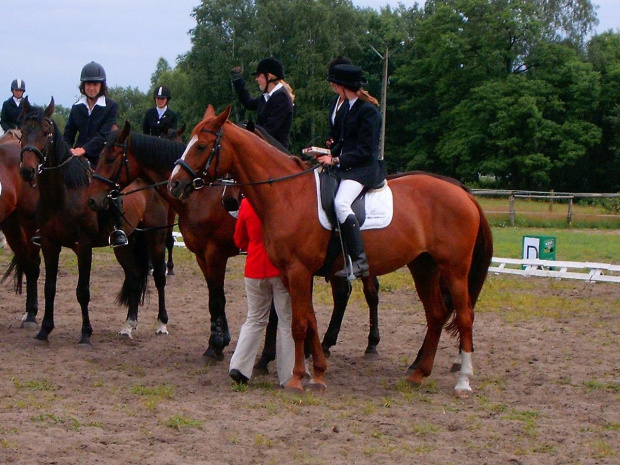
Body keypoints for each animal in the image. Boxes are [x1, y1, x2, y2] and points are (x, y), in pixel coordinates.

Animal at [18, 99, 172, 344]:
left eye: (45, 133)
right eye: (23, 132)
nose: (27, 170)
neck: (61, 195)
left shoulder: (83, 246)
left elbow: (83, 291)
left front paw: (85, 334)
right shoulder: (50, 244)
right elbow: (49, 287)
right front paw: (44, 330)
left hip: (155, 236)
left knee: (158, 276)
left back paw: (161, 324)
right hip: (125, 244)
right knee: (135, 276)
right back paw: (128, 325)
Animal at [85, 121, 380, 360]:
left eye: (110, 158)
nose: (93, 199)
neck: (200, 196)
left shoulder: (215, 253)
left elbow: (218, 298)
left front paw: (216, 345)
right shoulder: (201, 255)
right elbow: (214, 298)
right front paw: (220, 339)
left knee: (365, 291)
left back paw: (364, 344)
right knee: (344, 293)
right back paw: (330, 344)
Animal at [167, 106, 492, 396]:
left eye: (202, 146)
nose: (175, 184)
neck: (287, 194)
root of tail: (462, 193)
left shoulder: (298, 271)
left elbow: (298, 324)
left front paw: (296, 378)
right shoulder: (290, 273)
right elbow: (309, 321)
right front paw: (318, 375)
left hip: (454, 269)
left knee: (464, 316)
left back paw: (463, 381)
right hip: (424, 266)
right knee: (436, 314)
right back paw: (418, 374)